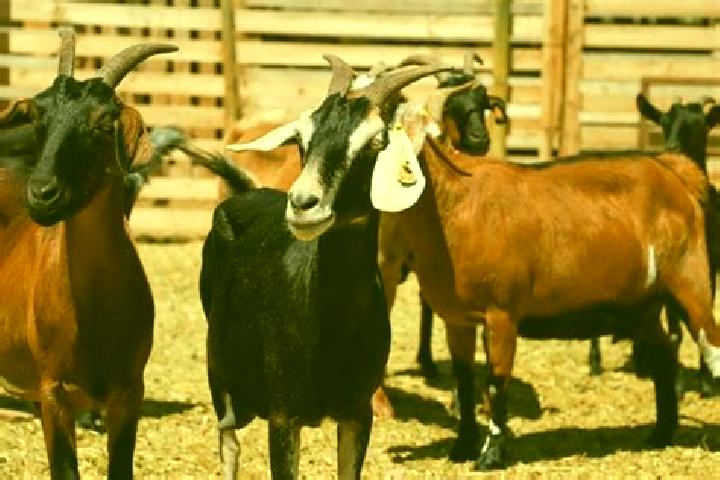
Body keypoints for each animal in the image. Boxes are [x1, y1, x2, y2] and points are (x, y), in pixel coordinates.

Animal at [203, 56, 451, 479]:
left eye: (376, 142)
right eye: (302, 139)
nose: (303, 204)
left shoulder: (356, 413)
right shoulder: (283, 417)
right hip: (220, 374)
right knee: (229, 443)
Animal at [588, 94, 720, 397]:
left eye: (700, 126)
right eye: (664, 123)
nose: (672, 149)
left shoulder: (711, 270)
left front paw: (707, 384)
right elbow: (676, 330)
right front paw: (678, 385)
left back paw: (642, 362)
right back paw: (598, 363)